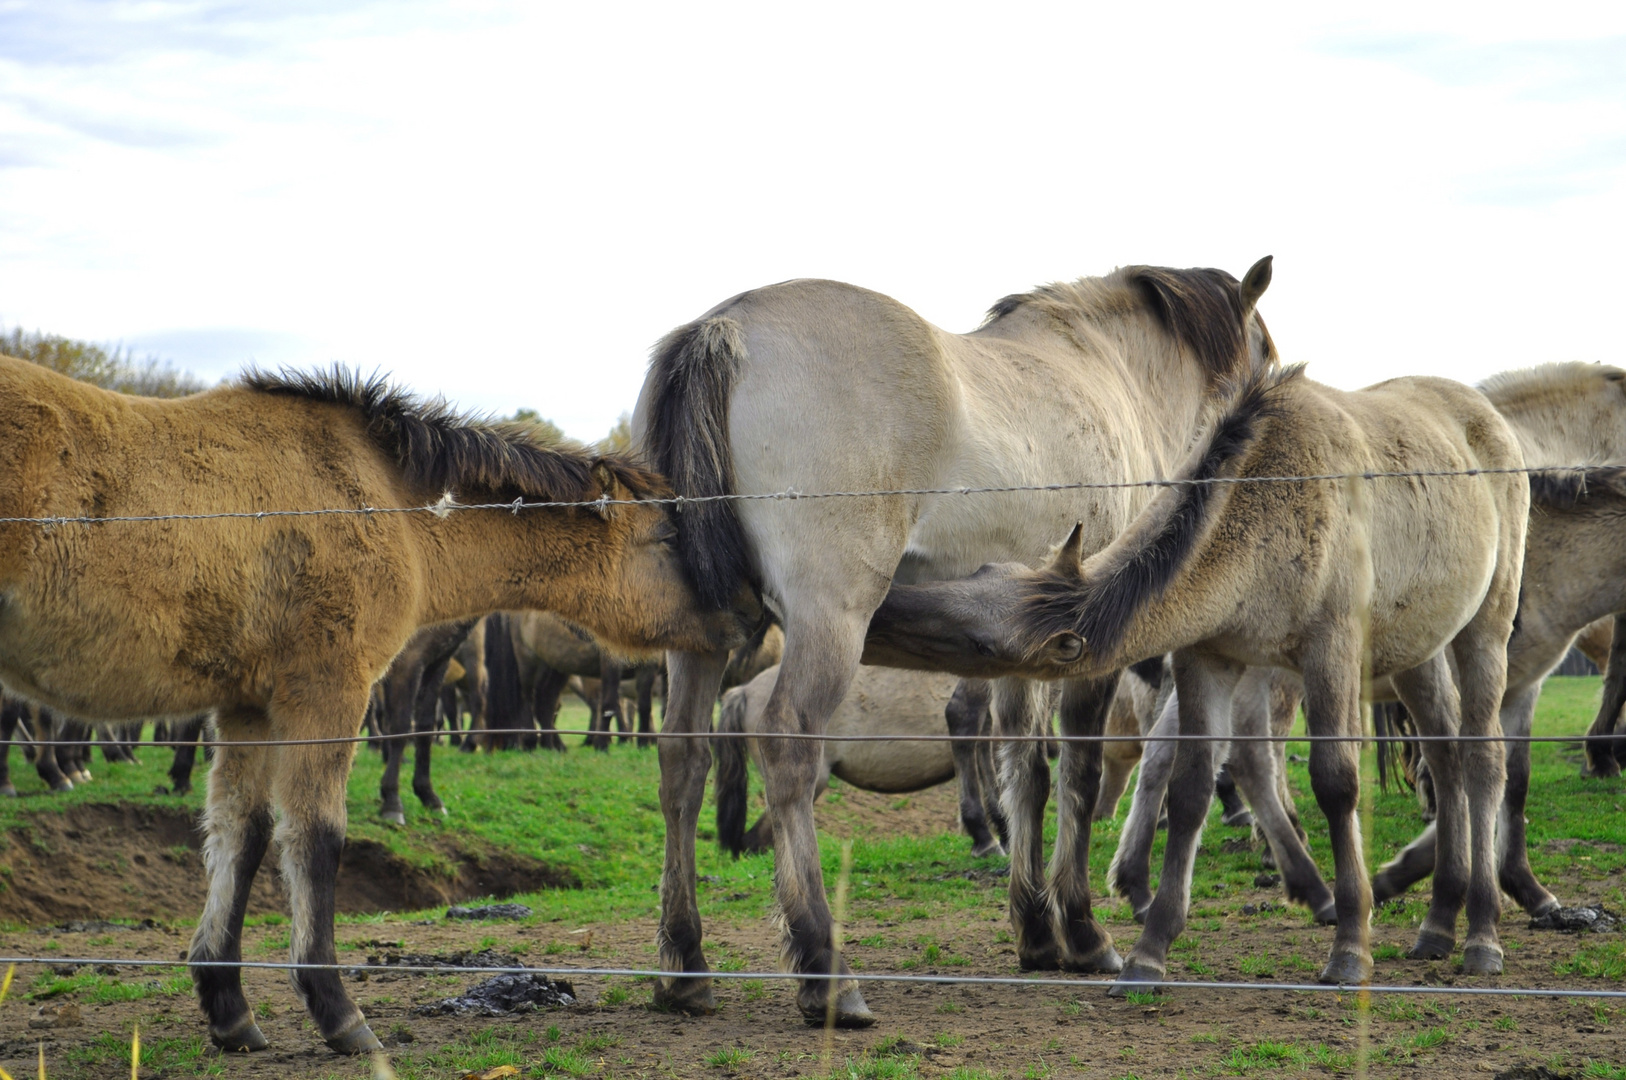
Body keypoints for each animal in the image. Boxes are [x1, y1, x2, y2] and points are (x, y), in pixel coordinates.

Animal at [0, 356, 747, 1053]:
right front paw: (336, 1009)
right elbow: (317, 838)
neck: (380, 497)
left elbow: (241, 835)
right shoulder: (328, 691)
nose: (737, 621)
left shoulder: (249, 707)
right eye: (667, 539)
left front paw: (227, 1005)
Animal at [871, 367, 1528, 988]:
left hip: (1485, 626)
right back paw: (1439, 919)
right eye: (977, 572)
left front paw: (1349, 946)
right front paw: (1150, 949)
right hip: (1417, 648)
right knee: (1444, 756)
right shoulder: (1206, 656)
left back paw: (1482, 933)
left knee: (1484, 756)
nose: (882, 608)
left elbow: (1335, 783)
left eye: (977, 639)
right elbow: (1188, 790)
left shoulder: (1333, 648)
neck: (1262, 513)